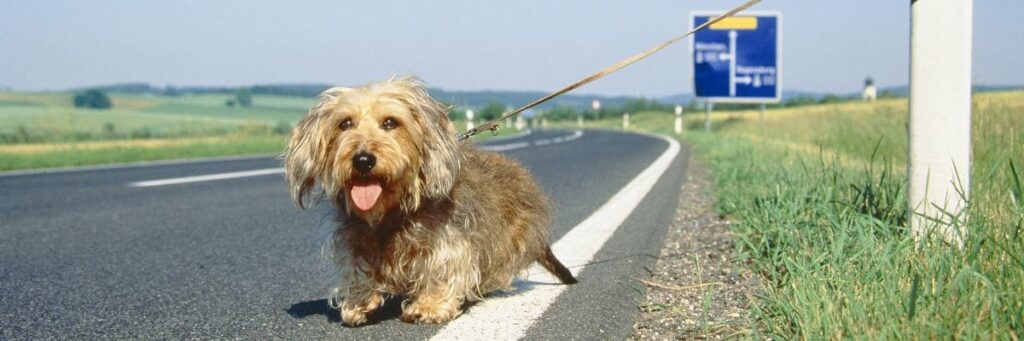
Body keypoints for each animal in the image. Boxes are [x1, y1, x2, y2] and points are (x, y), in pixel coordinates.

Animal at [284, 76, 581, 323]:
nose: (363, 160)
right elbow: (357, 269)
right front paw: (358, 301)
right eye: (344, 123)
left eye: (390, 122)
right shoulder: (355, 239)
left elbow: (443, 270)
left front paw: (429, 306)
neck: (393, 210)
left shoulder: (449, 240)